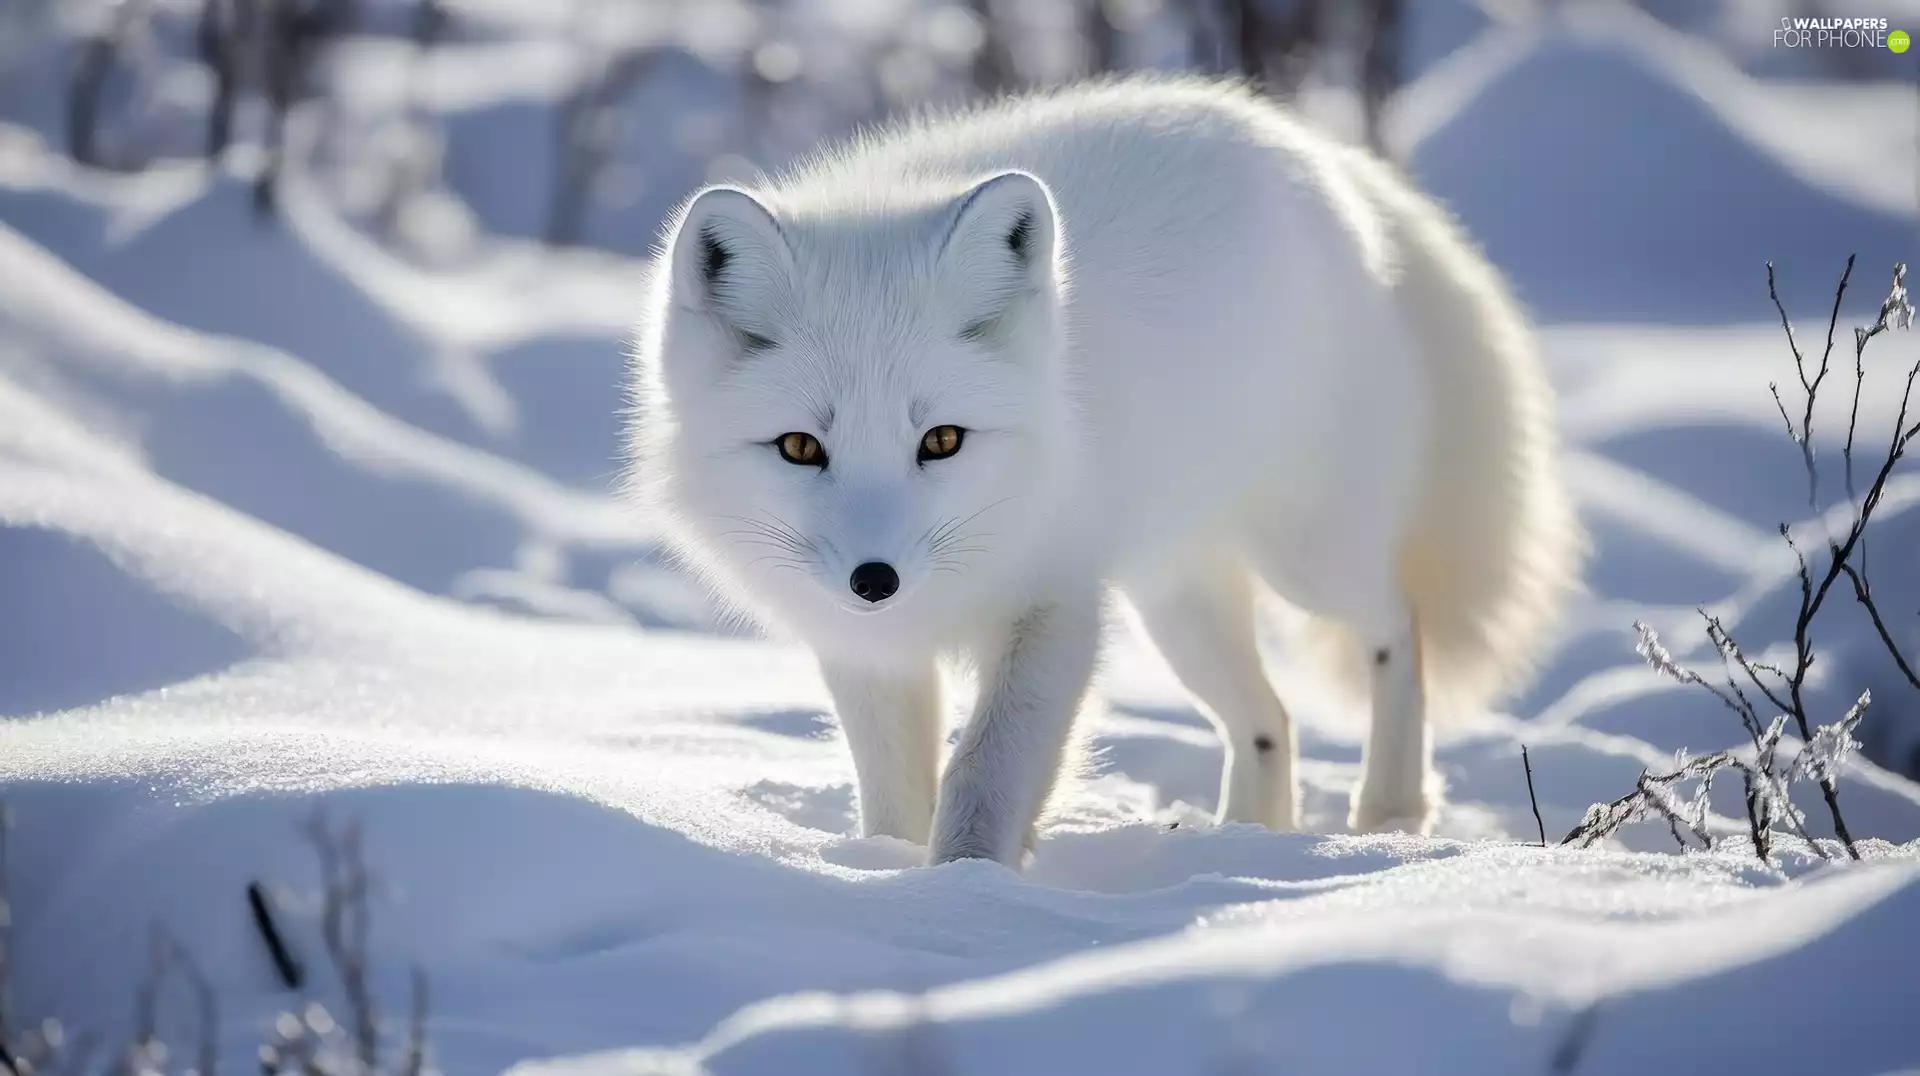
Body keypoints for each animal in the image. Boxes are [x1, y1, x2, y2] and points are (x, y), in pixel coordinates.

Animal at [626, 76, 1584, 868]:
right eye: (799, 448)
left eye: (941, 440)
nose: (875, 580)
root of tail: (1312, 147)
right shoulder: (867, 648)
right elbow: (895, 794)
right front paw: (895, 870)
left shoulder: (1056, 607)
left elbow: (984, 773)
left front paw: (967, 887)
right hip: (1177, 604)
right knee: (1268, 718)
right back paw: (1250, 835)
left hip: (1305, 558)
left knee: (1396, 625)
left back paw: (1387, 811)